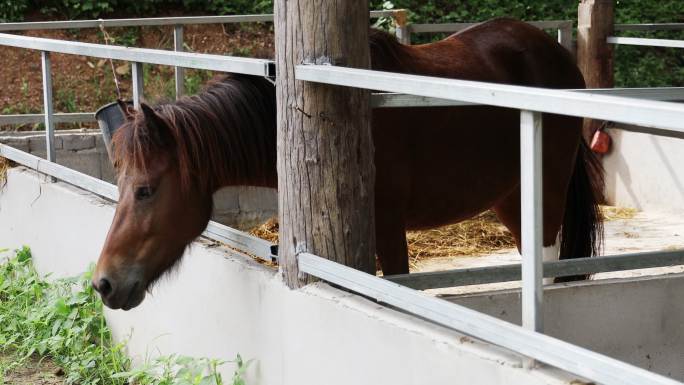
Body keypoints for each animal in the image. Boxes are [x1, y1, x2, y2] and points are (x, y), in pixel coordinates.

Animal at [92, 19, 604, 310]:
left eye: (145, 189)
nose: (103, 284)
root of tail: (556, 56)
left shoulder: (389, 228)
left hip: (546, 191)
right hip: (511, 199)